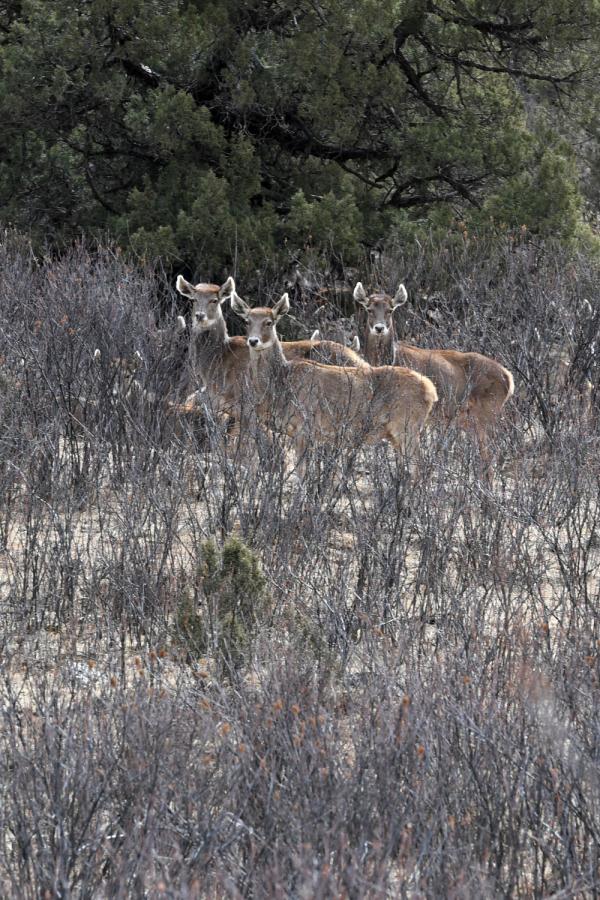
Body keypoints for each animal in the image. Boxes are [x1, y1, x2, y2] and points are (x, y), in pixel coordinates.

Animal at [229, 292, 436, 482]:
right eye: (247, 321)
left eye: (269, 322)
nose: (253, 341)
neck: (281, 385)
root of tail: (431, 391)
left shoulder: (304, 426)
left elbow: (302, 473)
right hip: (397, 434)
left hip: (407, 425)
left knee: (419, 468)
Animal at [354, 284, 512, 472]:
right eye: (369, 309)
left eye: (390, 310)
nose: (379, 328)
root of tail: (508, 378)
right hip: (468, 419)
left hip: (488, 411)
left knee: (491, 453)